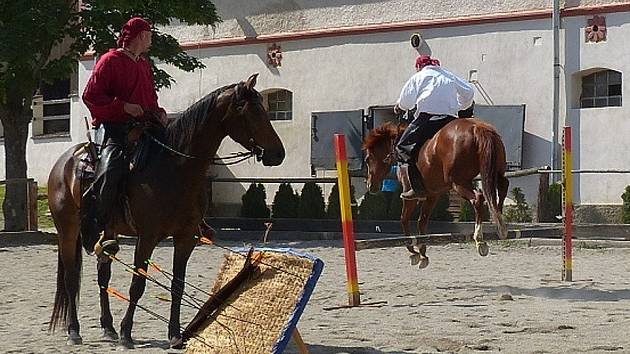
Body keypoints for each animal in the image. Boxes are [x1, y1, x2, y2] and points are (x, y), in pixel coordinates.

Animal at [49, 74, 286, 348]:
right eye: (251, 112)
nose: (278, 153)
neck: (175, 169)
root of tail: (64, 162)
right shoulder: (147, 237)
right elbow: (138, 283)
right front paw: (126, 333)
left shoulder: (186, 237)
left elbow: (177, 285)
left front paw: (175, 335)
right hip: (68, 230)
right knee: (70, 277)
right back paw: (74, 330)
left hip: (109, 231)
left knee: (103, 273)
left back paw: (108, 327)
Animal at [362, 117, 512, 266]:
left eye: (368, 159)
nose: (371, 186)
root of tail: (478, 128)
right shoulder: (432, 195)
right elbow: (422, 222)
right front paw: (423, 254)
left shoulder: (410, 196)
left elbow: (404, 219)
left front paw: (414, 253)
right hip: (494, 172)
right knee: (502, 187)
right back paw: (500, 225)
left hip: (459, 183)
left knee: (478, 198)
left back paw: (480, 239)